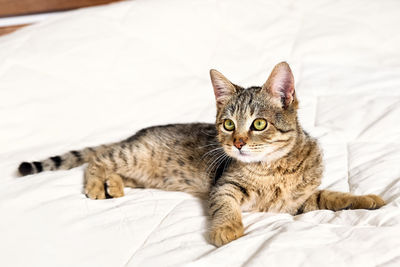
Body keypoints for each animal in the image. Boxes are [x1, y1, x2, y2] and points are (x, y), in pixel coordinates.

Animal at [18, 62, 384, 247]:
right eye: (227, 124)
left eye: (259, 123)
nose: (238, 142)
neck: (272, 169)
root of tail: (135, 134)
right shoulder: (225, 187)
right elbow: (225, 208)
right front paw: (227, 229)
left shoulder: (298, 202)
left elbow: (334, 196)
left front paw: (367, 199)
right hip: (132, 155)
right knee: (98, 160)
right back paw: (98, 185)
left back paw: (115, 186)